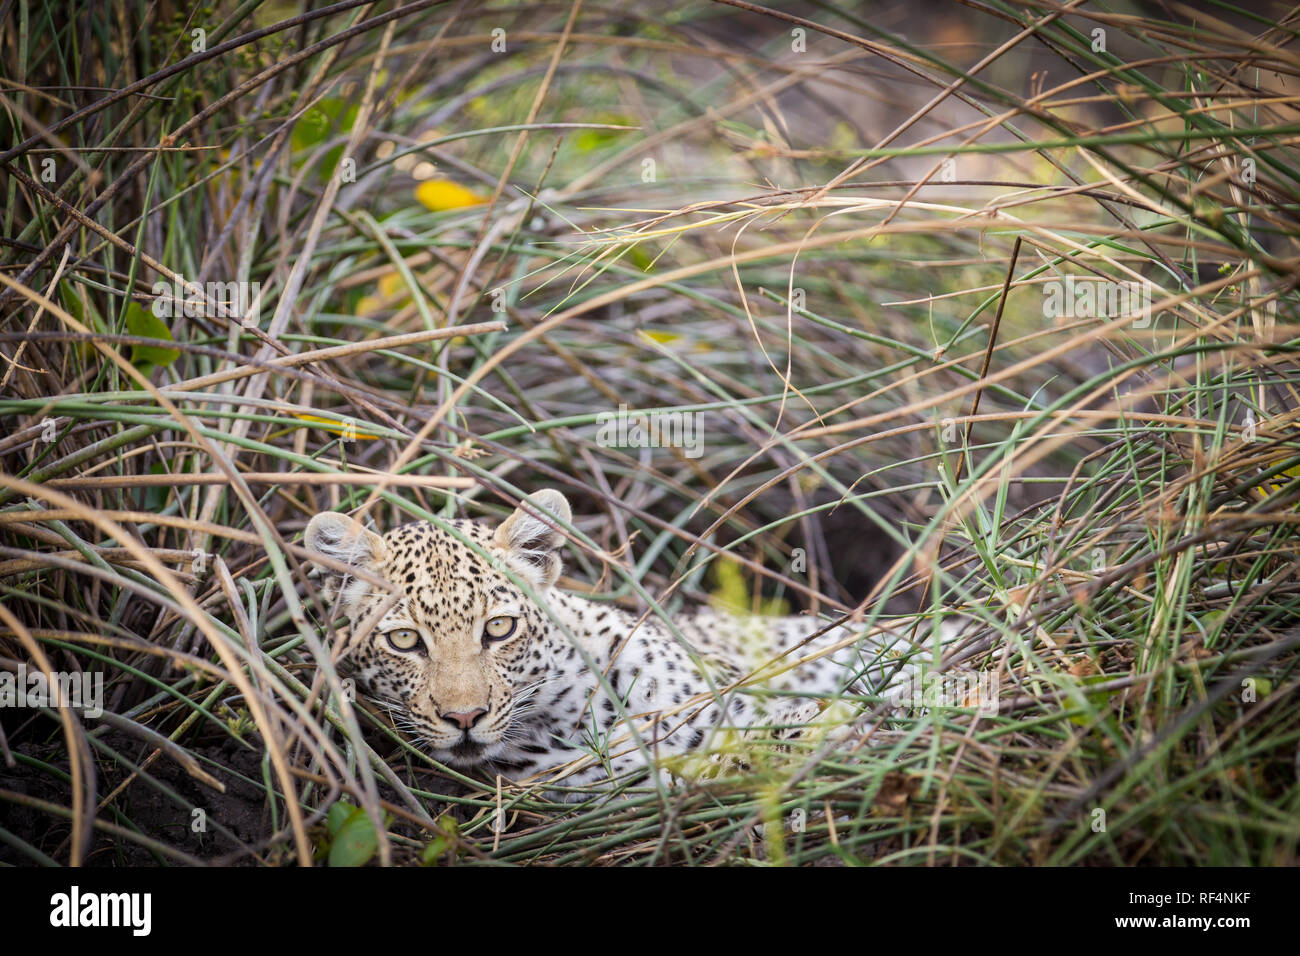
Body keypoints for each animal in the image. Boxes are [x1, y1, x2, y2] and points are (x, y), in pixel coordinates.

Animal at [299, 489, 961, 790]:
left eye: (498, 629)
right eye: (404, 641)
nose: (465, 718)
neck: (564, 713)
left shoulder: (727, 701)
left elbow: (793, 721)